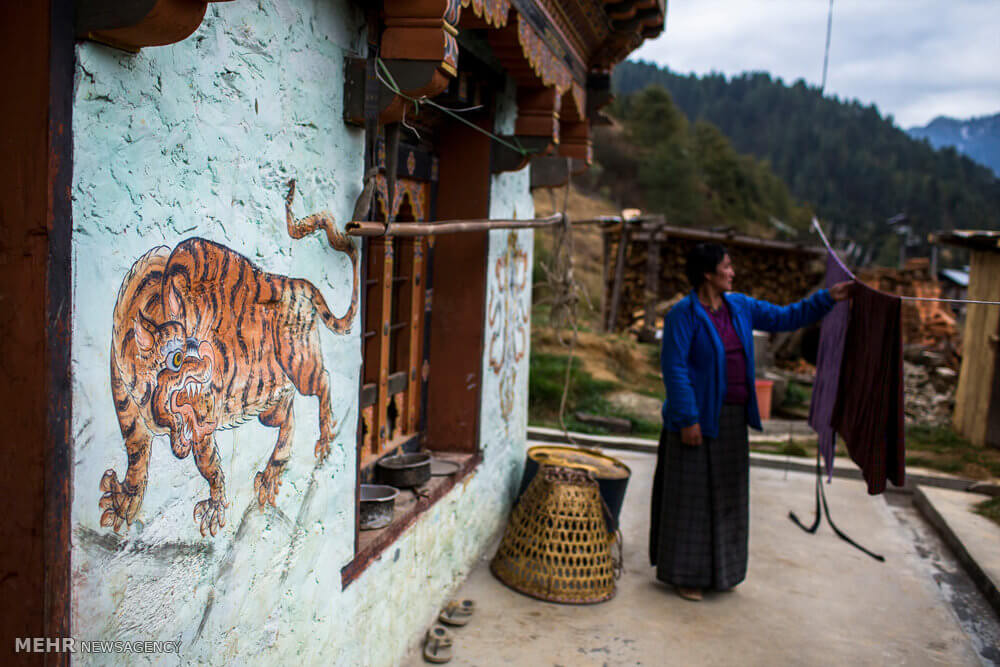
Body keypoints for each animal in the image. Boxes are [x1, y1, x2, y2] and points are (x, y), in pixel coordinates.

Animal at [97, 183, 362, 536]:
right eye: (177, 358)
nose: (209, 363)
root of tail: (299, 282)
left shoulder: (202, 414)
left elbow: (207, 461)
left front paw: (213, 509)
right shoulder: (126, 403)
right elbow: (136, 454)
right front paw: (123, 501)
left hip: (299, 361)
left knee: (324, 383)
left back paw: (324, 441)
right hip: (271, 403)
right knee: (288, 413)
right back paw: (272, 475)